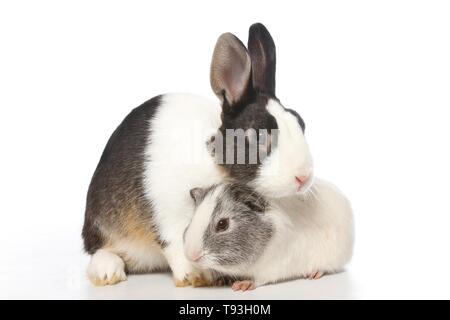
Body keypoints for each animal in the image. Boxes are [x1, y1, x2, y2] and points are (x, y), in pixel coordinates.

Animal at [82, 23, 314, 288]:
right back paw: (108, 273)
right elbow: (175, 243)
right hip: (103, 223)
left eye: (300, 122)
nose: (304, 177)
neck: (215, 160)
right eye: (258, 136)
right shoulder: (168, 210)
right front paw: (194, 277)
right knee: (102, 249)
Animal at [184, 181, 356, 292]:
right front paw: (220, 281)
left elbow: (259, 279)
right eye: (192, 219)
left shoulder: (272, 267)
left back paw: (313, 274)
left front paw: (242, 286)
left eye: (222, 224)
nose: (191, 256)